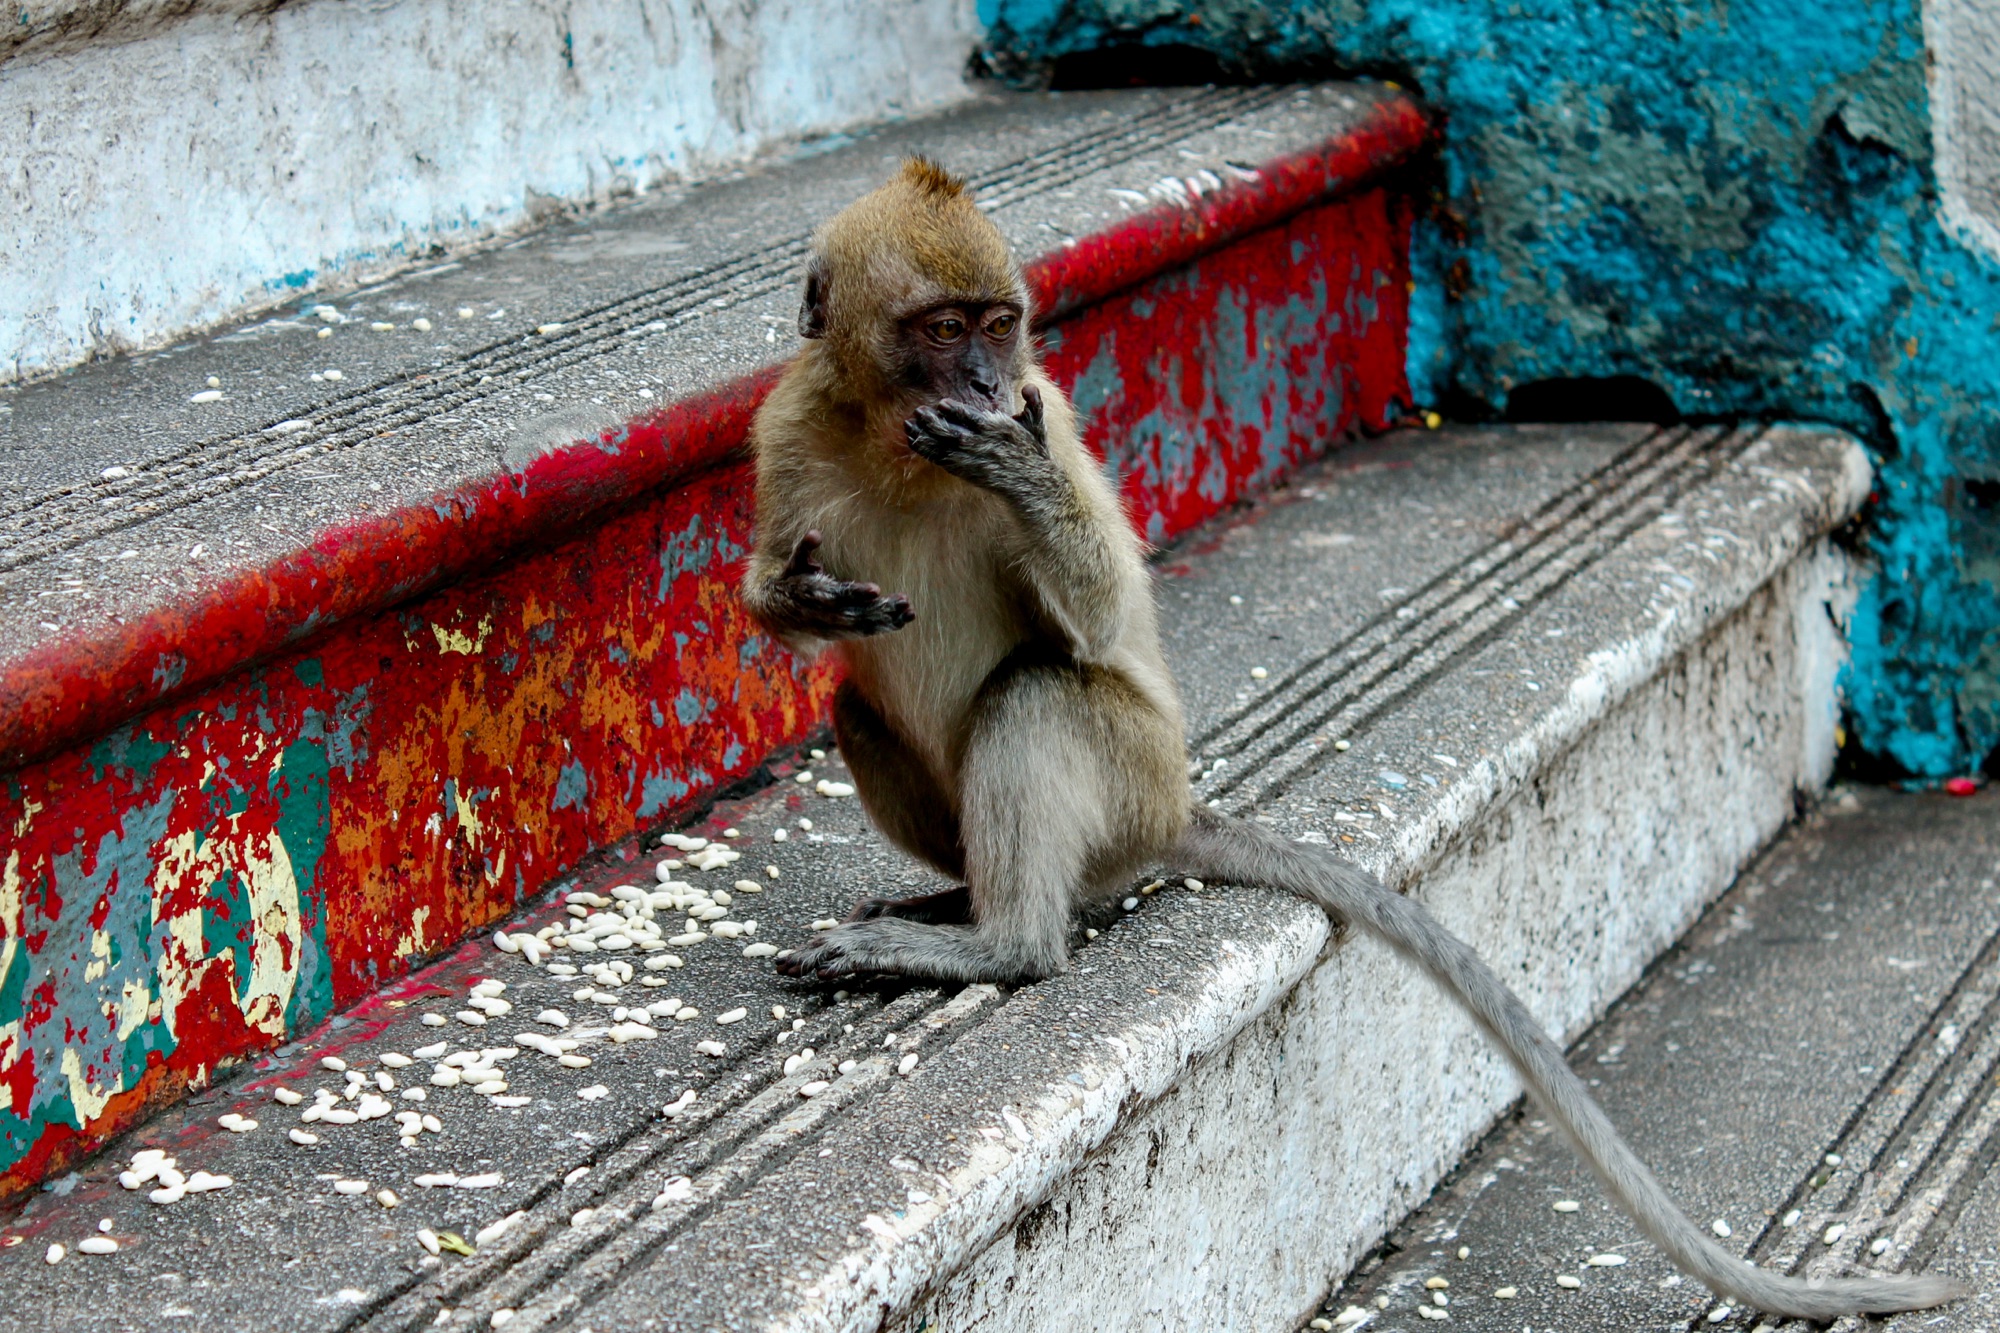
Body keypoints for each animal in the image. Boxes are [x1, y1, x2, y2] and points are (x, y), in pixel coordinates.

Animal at [737, 157, 1964, 1321]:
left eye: (1000, 327)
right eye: (945, 332)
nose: (990, 385)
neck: (889, 446)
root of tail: (1174, 807)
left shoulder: (1052, 409)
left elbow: (1095, 619)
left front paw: (1017, 471)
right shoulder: (786, 429)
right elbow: (778, 600)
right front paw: (796, 600)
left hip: (1129, 772)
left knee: (1036, 691)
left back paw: (1006, 944)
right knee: (856, 706)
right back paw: (961, 897)